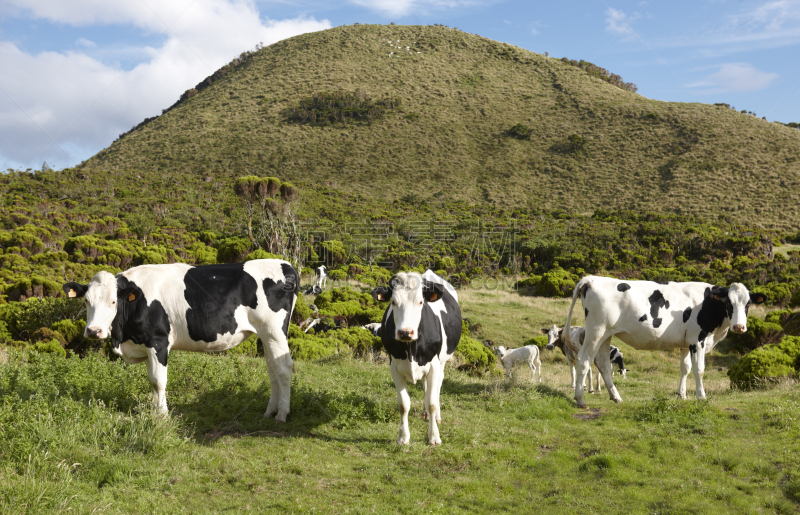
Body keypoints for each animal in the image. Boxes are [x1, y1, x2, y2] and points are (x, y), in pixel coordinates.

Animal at [62, 260, 300, 422]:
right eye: (86, 301)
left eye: (113, 301)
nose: (94, 331)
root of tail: (284, 264)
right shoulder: (146, 345)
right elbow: (152, 381)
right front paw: (155, 412)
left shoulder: (158, 342)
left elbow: (159, 381)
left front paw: (162, 416)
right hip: (266, 334)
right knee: (272, 368)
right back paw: (270, 411)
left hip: (274, 331)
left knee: (284, 367)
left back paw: (282, 414)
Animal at [370, 272, 460, 446]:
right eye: (393, 302)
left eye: (420, 302)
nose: (405, 332)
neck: (411, 349)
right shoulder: (394, 368)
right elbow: (404, 404)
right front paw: (403, 436)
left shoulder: (434, 365)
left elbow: (432, 402)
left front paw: (434, 437)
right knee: (426, 386)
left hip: (442, 362)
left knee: (437, 387)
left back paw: (436, 416)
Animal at [564, 276, 764, 410]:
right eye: (728, 303)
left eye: (748, 304)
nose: (739, 327)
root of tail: (592, 279)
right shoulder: (697, 339)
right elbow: (699, 370)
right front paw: (701, 396)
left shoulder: (686, 343)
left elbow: (685, 368)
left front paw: (681, 395)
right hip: (595, 332)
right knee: (584, 361)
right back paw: (580, 400)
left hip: (606, 335)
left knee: (603, 364)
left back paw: (616, 397)